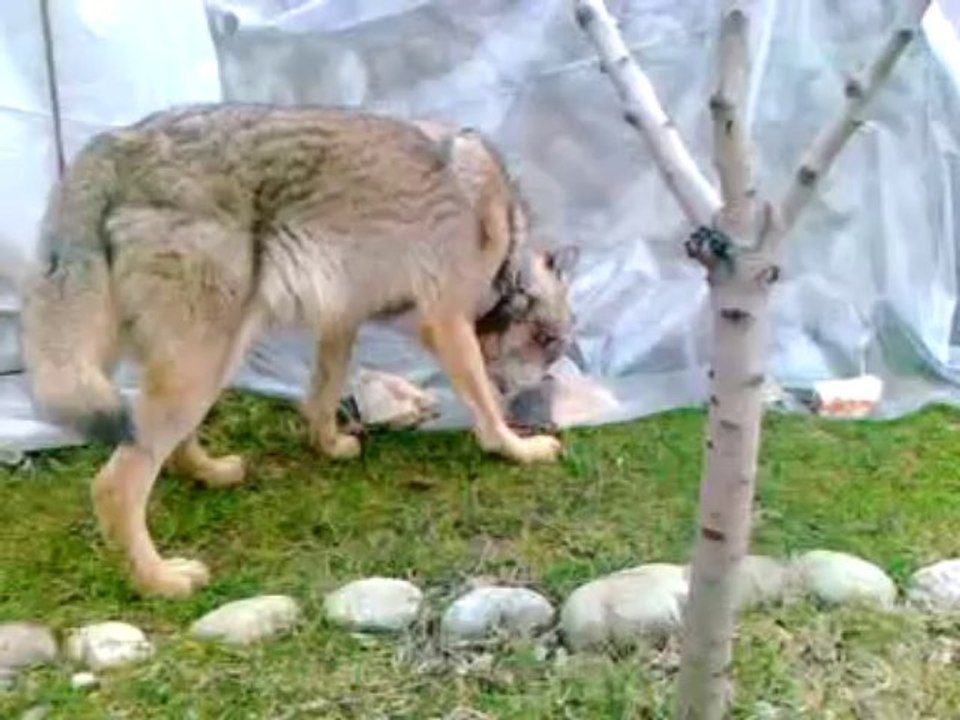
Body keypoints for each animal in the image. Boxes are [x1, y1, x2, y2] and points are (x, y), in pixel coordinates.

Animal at [19, 103, 578, 598]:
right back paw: (162, 582)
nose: (539, 402)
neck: (502, 229)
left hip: (201, 360)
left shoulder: (341, 320)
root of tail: (114, 144)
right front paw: (519, 449)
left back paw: (212, 474)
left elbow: (323, 395)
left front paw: (329, 446)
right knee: (116, 485)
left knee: (169, 448)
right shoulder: (446, 325)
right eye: (550, 344)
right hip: (201, 364)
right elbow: (484, 406)